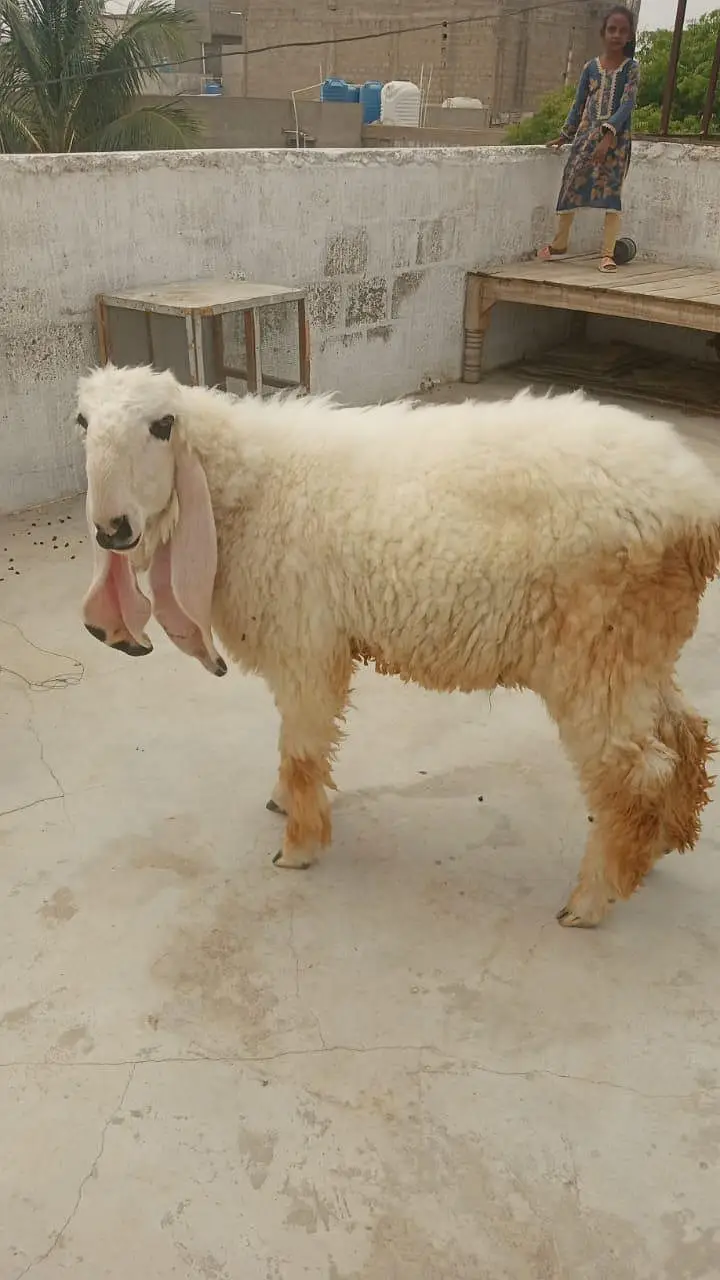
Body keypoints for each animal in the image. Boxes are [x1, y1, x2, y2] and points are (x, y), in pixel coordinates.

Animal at [79, 363, 720, 928]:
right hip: (642, 648)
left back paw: (591, 900)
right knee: (684, 733)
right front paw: (283, 802)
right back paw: (661, 844)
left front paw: (298, 846)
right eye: (82, 422)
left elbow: (302, 749)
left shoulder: (306, 640)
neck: (250, 489)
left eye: (163, 425)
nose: (111, 529)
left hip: (596, 651)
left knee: (637, 771)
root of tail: (696, 506)